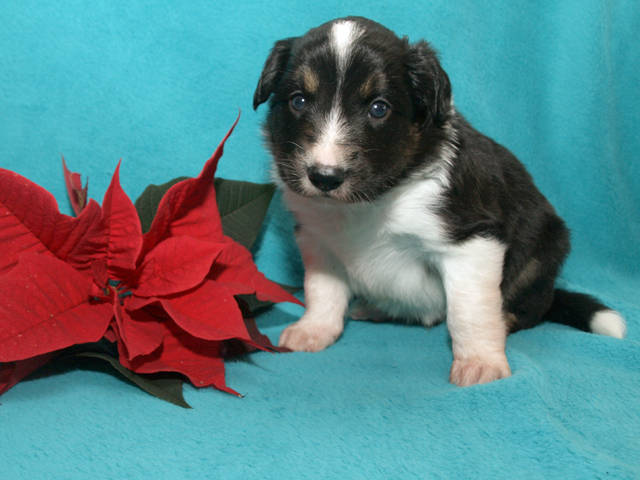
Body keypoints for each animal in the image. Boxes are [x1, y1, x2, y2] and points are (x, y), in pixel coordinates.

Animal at [253, 16, 626, 386]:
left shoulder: (472, 241)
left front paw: (480, 362)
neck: (374, 200)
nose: (325, 177)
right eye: (299, 101)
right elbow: (323, 288)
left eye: (378, 108)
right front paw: (313, 330)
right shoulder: (317, 237)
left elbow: (469, 310)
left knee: (530, 307)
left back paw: (504, 321)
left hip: (543, 251)